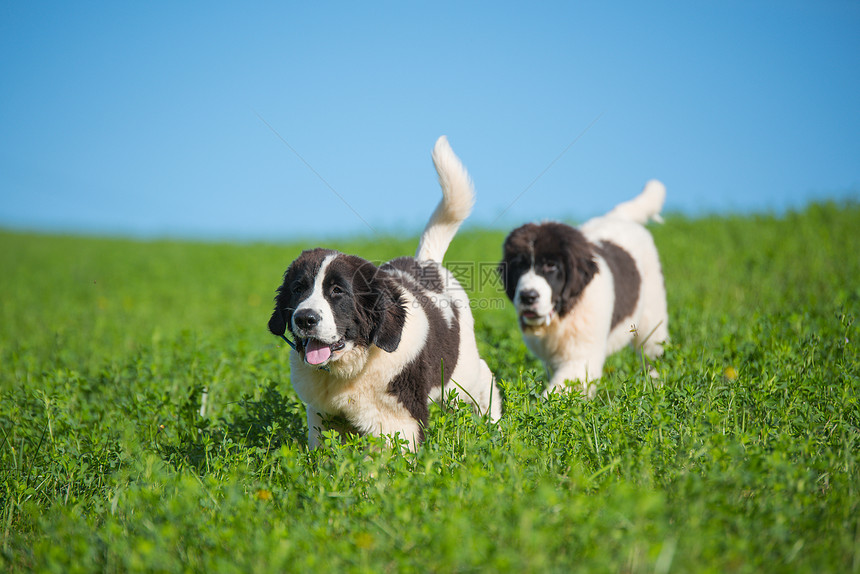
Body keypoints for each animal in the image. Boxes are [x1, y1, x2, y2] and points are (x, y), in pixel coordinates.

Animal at [266, 137, 500, 452]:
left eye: (337, 291)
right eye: (298, 289)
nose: (305, 319)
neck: (353, 365)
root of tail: (426, 262)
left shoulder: (398, 414)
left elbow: (392, 454)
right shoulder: (321, 413)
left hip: (460, 370)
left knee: (484, 380)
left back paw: (494, 425)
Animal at [498, 182, 672, 398]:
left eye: (551, 266)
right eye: (518, 266)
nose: (528, 296)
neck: (564, 313)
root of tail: (620, 217)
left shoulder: (581, 357)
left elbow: (558, 392)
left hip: (652, 314)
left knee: (652, 351)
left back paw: (656, 386)